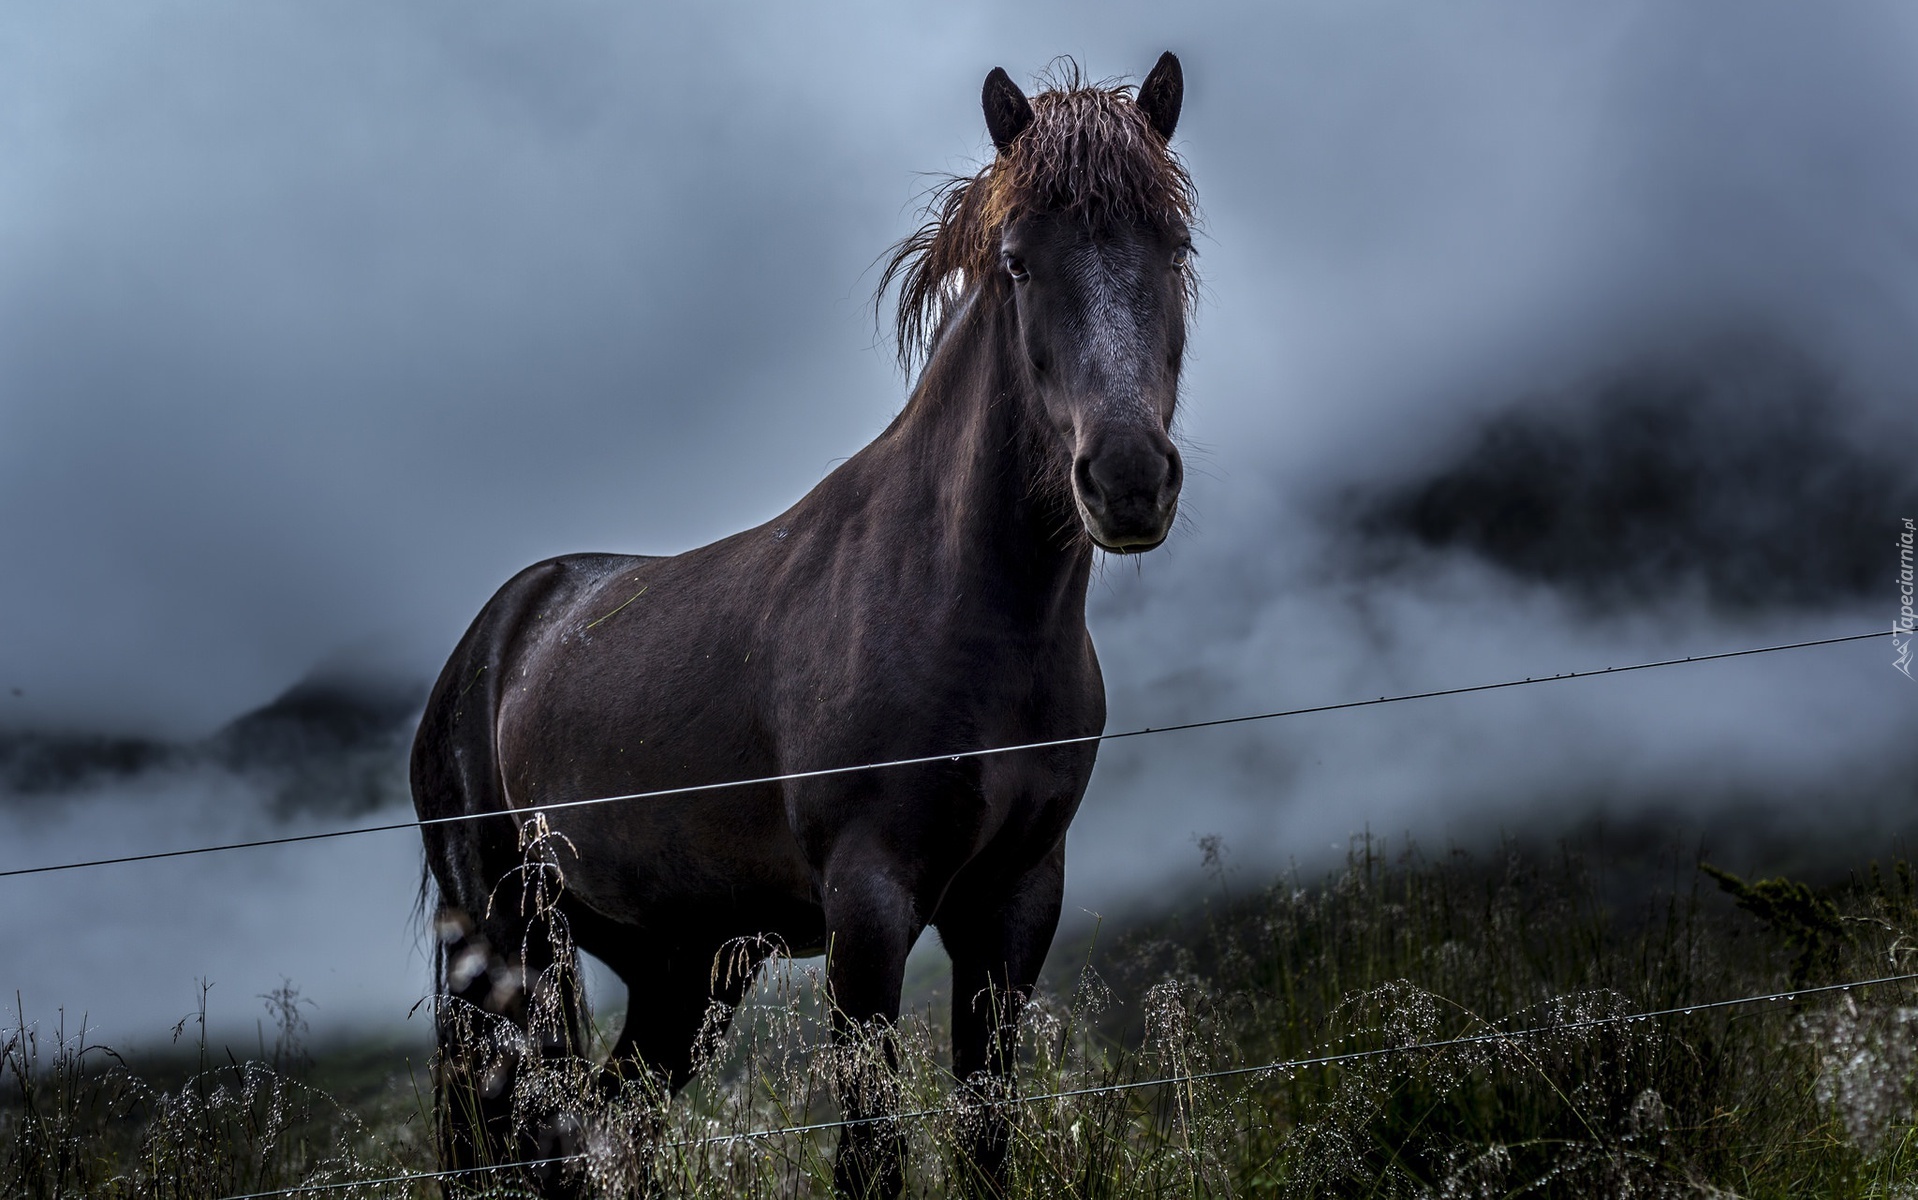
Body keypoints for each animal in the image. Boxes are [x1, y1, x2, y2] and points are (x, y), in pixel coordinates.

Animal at [416, 56, 1196, 1196]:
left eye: (1174, 247)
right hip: (511, 944)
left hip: (682, 966)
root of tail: (490, 639)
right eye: (1016, 263)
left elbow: (986, 1129)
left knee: (606, 1127)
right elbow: (870, 1150)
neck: (965, 613)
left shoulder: (1015, 903)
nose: (1129, 478)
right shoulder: (865, 907)